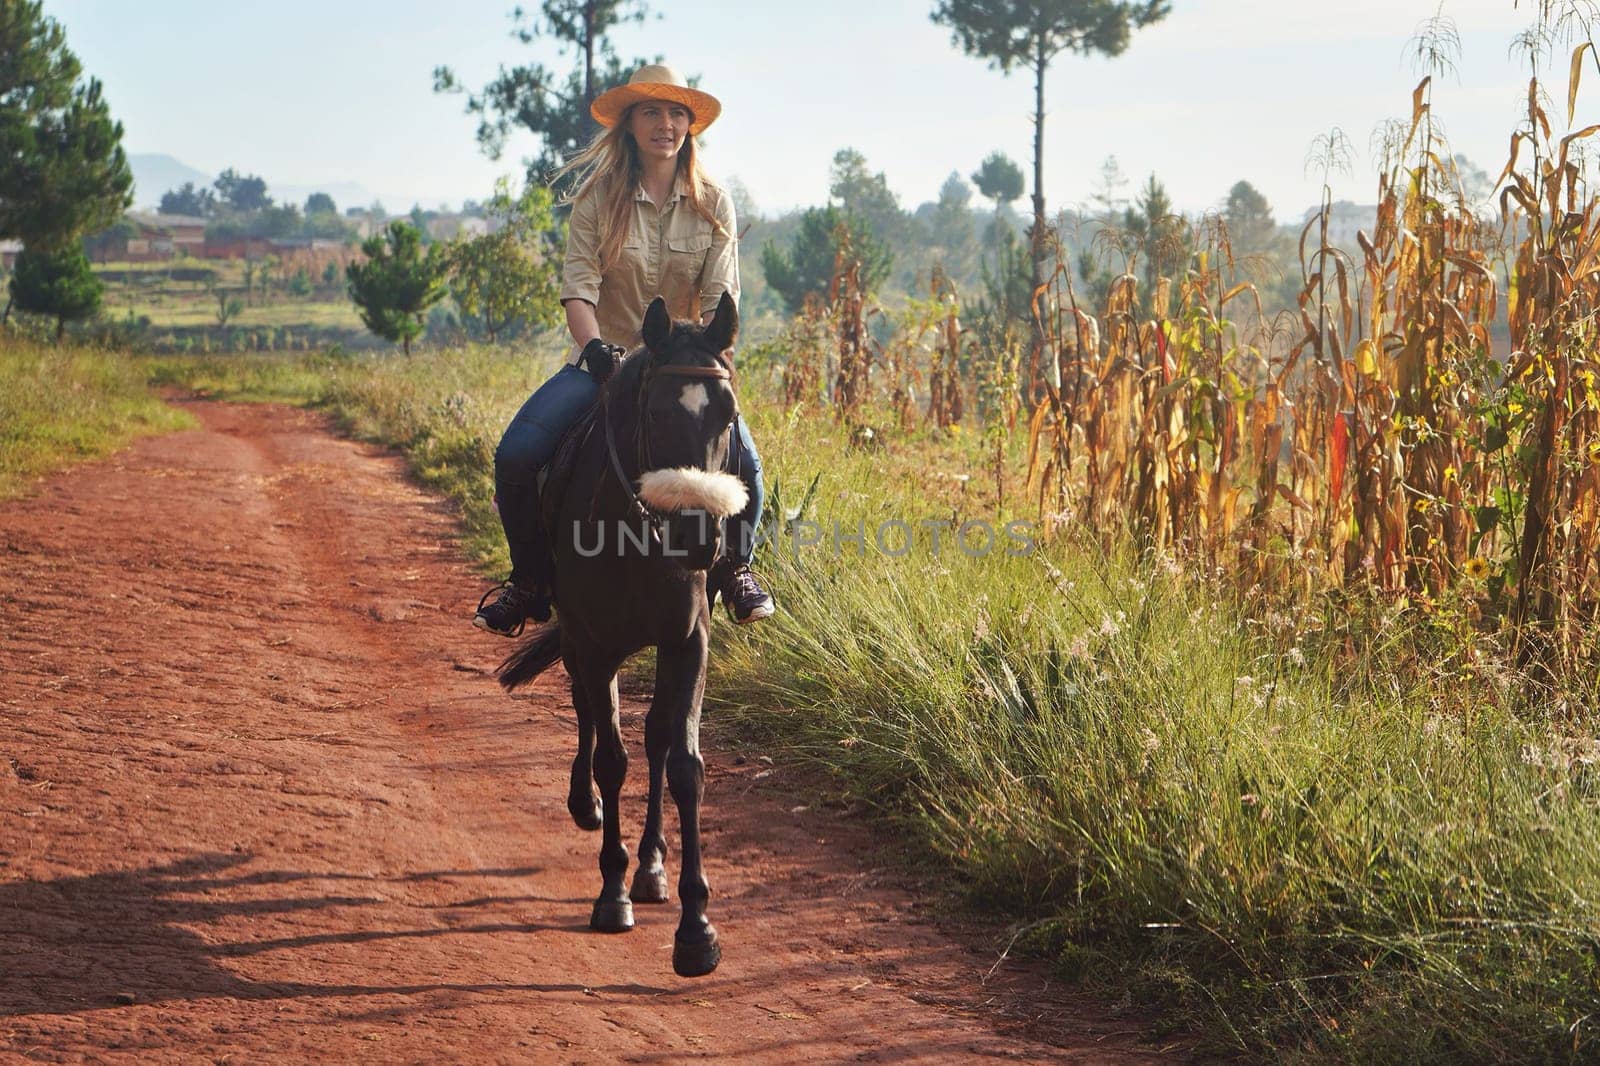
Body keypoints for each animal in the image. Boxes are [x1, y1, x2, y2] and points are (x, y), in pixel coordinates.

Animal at [499, 294, 742, 973]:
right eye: (657, 411)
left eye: (728, 413)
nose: (702, 538)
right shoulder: (594, 641)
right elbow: (611, 756)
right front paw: (611, 894)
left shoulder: (687, 640)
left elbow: (683, 763)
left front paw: (696, 928)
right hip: (579, 642)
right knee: (586, 709)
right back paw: (587, 808)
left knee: (655, 737)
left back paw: (653, 868)